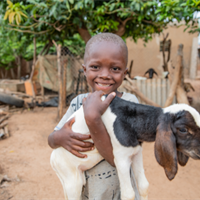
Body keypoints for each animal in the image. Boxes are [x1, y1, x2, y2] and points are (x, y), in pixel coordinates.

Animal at [50, 95, 200, 200]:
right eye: (183, 130)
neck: (132, 121)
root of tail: (53, 158)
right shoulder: (120, 158)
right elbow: (128, 194)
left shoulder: (136, 153)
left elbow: (143, 186)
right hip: (71, 180)